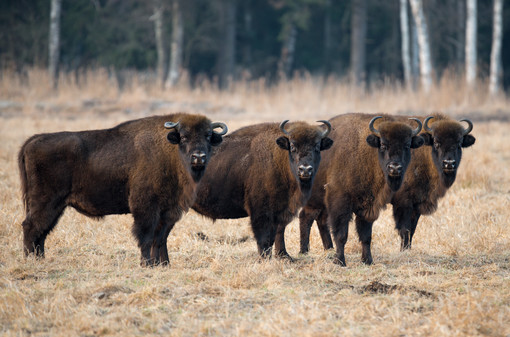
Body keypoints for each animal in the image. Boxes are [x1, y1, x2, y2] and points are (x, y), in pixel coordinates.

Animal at [18, 113, 227, 266]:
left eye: (208, 136)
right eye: (183, 137)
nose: (198, 157)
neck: (170, 150)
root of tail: (32, 141)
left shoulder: (170, 211)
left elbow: (161, 238)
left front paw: (164, 264)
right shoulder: (146, 208)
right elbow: (146, 236)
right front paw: (147, 264)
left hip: (56, 206)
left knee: (42, 231)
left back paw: (40, 259)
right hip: (46, 202)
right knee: (31, 226)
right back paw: (30, 260)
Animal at [183, 119, 334, 258]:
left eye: (317, 146)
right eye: (292, 146)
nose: (305, 170)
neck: (280, 158)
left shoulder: (281, 212)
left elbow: (276, 234)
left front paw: (284, 256)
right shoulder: (261, 212)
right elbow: (264, 238)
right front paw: (267, 258)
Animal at [292, 113, 424, 266]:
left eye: (407, 145)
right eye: (383, 145)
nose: (395, 168)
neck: (368, 155)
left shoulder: (368, 208)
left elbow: (366, 236)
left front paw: (368, 260)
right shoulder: (340, 204)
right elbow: (341, 234)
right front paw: (340, 261)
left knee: (316, 219)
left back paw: (325, 250)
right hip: (313, 201)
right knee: (306, 218)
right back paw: (304, 251)